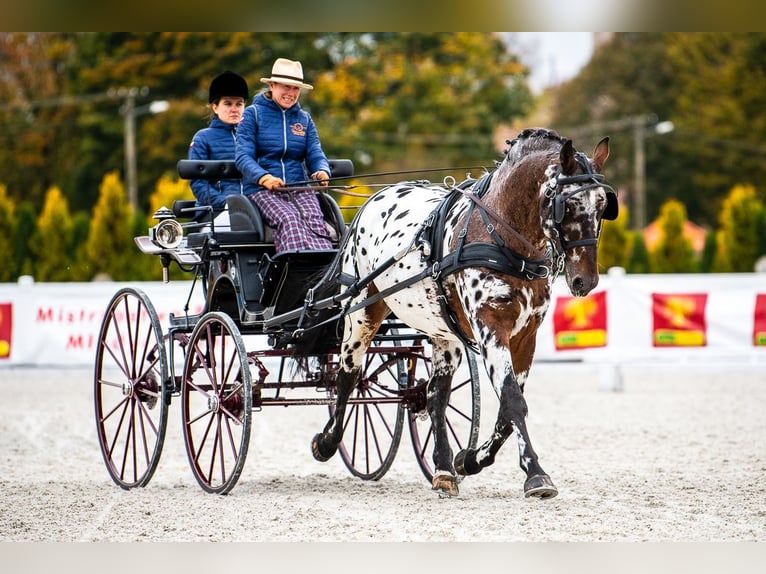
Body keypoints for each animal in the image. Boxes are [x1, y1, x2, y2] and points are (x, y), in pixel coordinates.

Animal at [294, 127, 616, 500]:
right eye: (570, 204)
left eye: (603, 205)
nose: (585, 281)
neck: (502, 237)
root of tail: (372, 201)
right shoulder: (491, 326)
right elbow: (512, 401)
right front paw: (536, 474)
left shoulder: (526, 335)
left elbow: (507, 408)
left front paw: (470, 459)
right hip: (362, 311)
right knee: (348, 375)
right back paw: (327, 442)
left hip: (443, 332)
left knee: (435, 395)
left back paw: (444, 469)